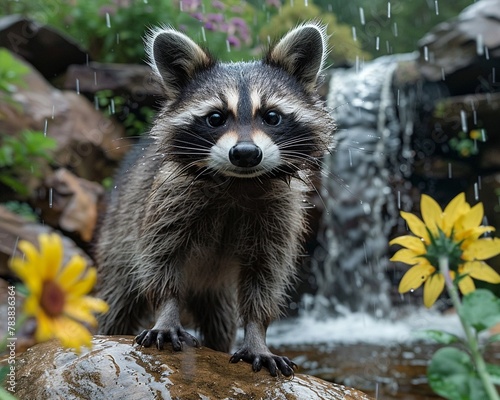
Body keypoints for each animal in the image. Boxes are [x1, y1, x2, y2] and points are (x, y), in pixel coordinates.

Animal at [95, 23, 334, 376]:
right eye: (216, 118)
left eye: (271, 117)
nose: (246, 153)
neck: (239, 183)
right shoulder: (167, 202)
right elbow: (160, 260)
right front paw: (167, 312)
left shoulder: (279, 215)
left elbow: (265, 275)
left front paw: (257, 334)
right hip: (117, 235)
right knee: (117, 299)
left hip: (216, 290)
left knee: (221, 321)